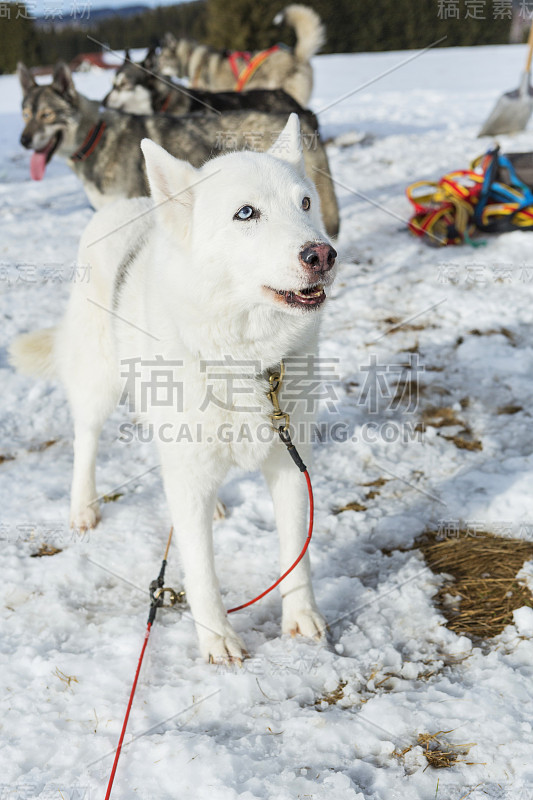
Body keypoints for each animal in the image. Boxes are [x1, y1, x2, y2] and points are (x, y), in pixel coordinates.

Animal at [10, 112, 336, 664]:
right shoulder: (193, 471)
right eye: (246, 213)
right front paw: (218, 638)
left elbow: (296, 552)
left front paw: (300, 617)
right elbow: (201, 570)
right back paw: (83, 507)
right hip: (98, 384)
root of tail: (126, 206)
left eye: (306, 203)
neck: (244, 360)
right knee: (86, 440)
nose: (323, 254)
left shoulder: (289, 463)